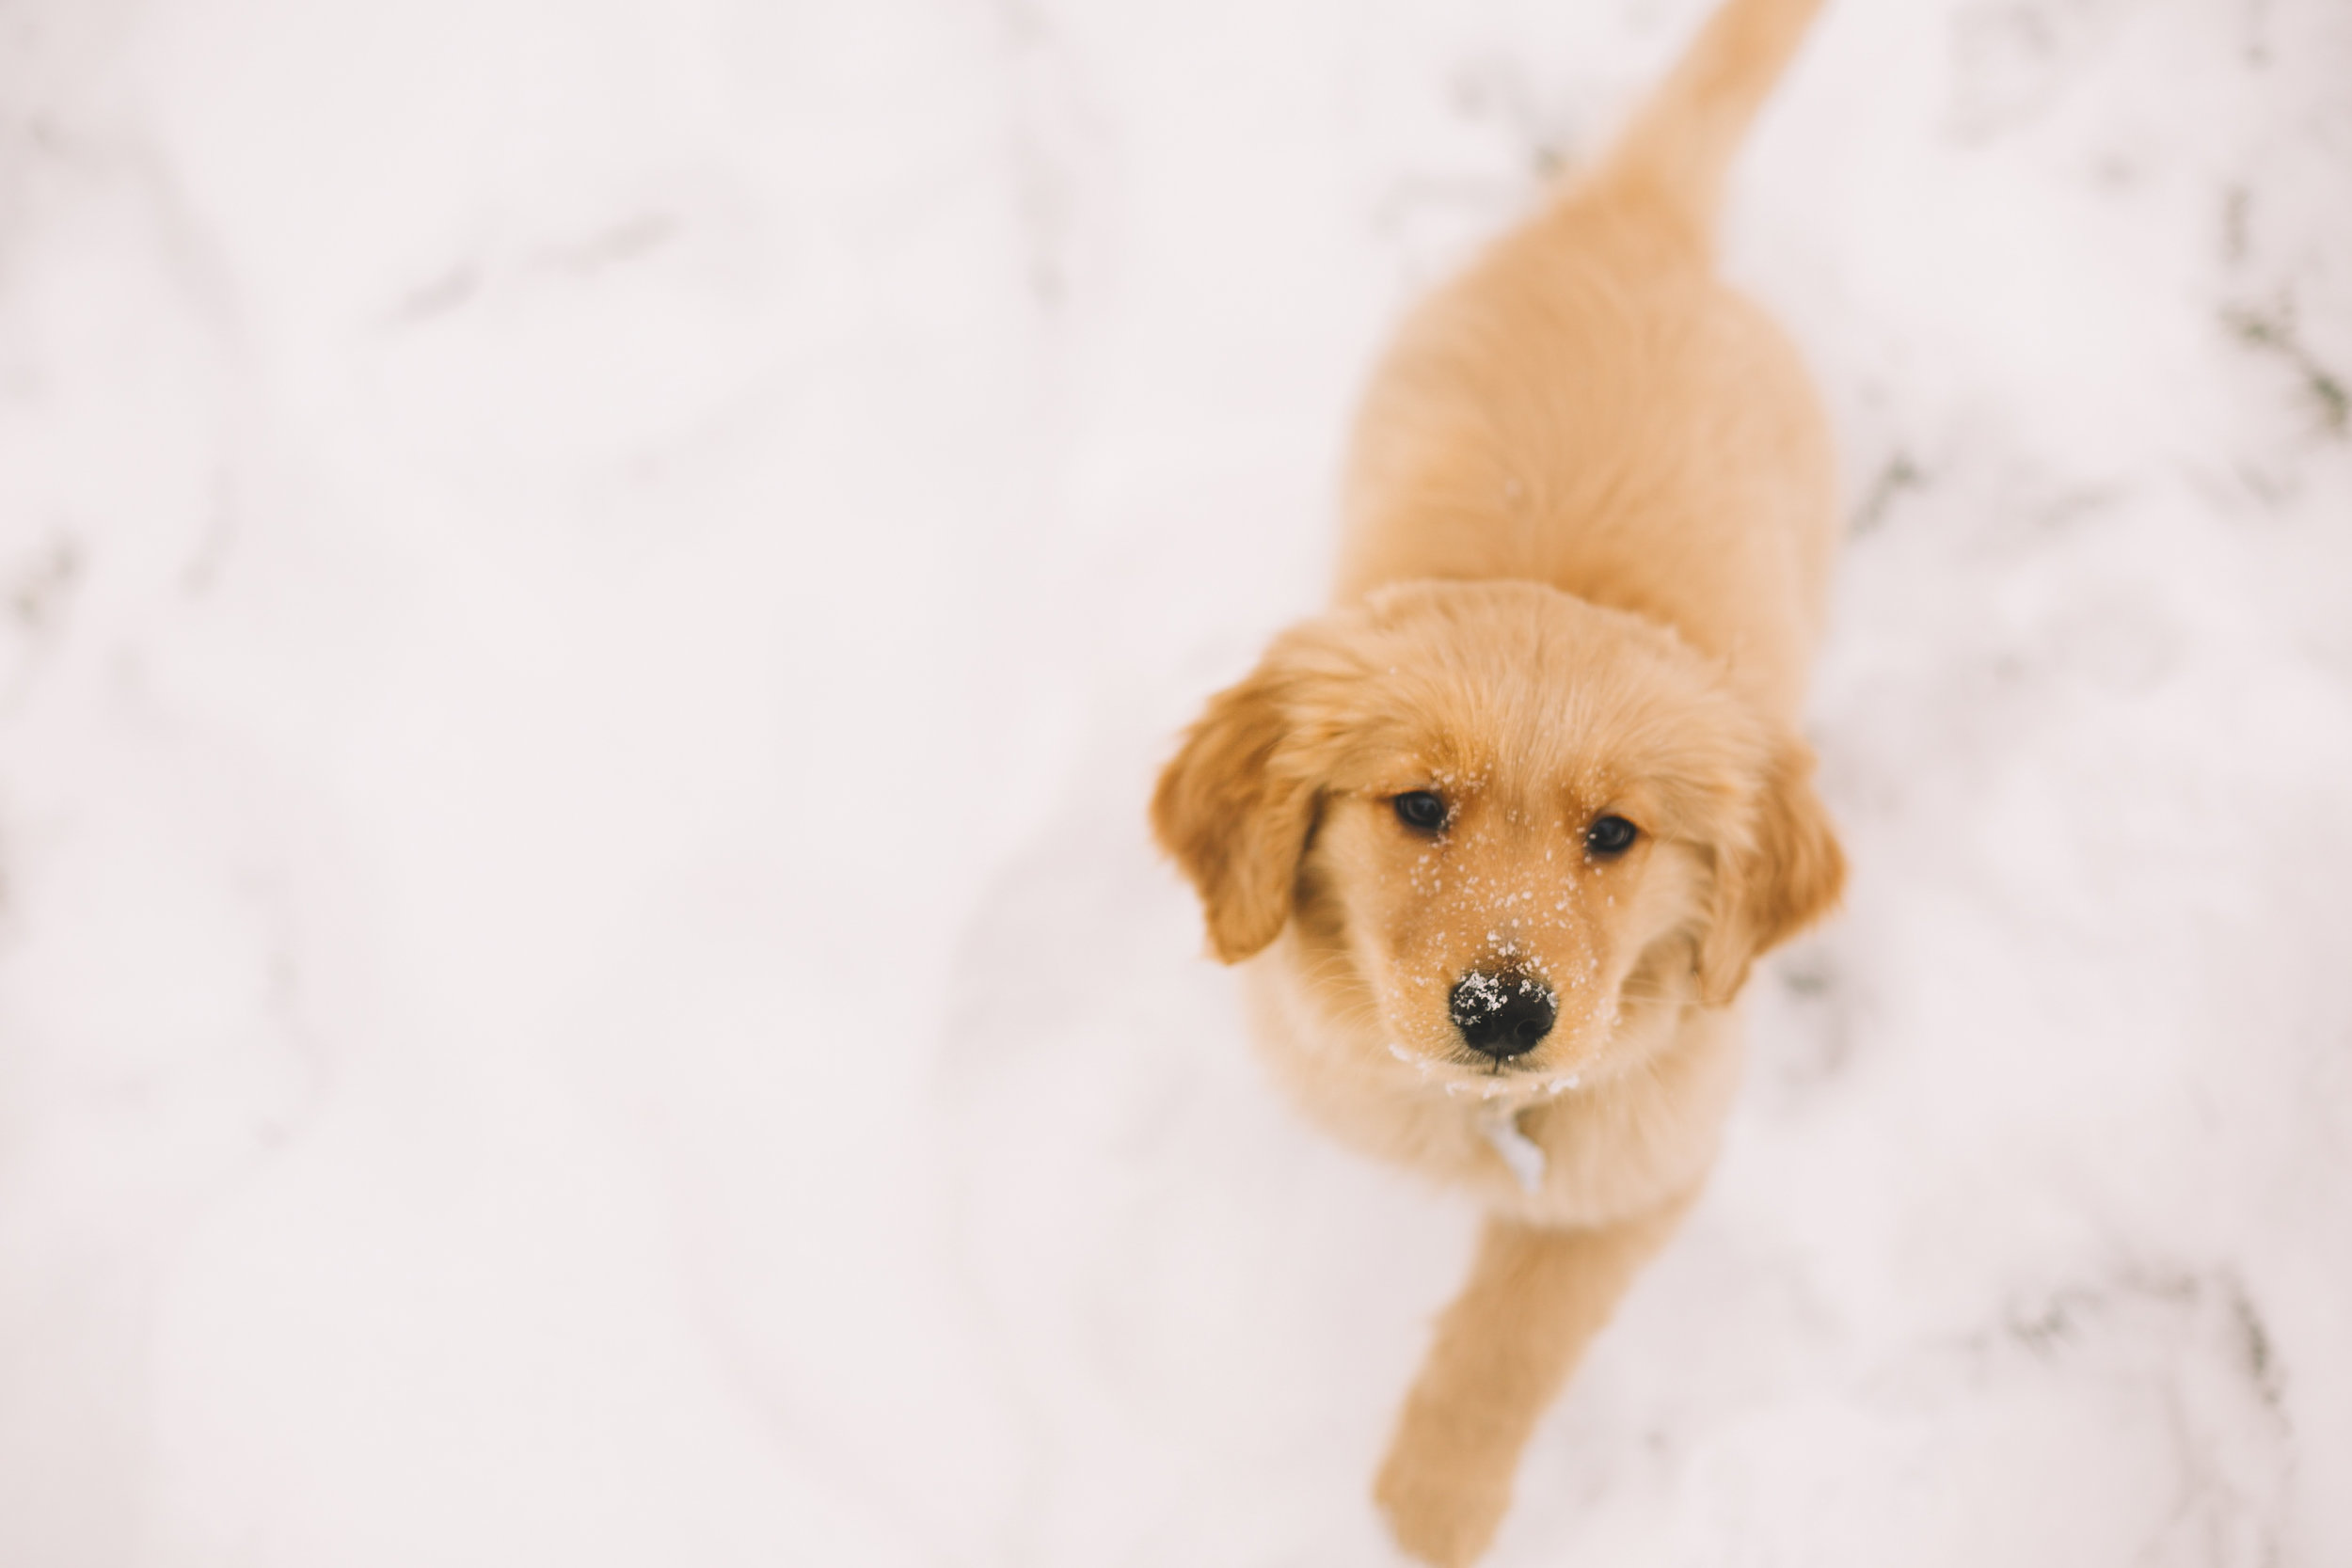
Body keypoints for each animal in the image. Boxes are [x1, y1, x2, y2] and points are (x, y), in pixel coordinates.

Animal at [1148, 0, 1844, 1560]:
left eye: (1618, 833)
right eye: (1418, 805)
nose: (1504, 1012)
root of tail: (1629, 221)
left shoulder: (1641, 1159)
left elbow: (1509, 1341)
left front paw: (1432, 1506)